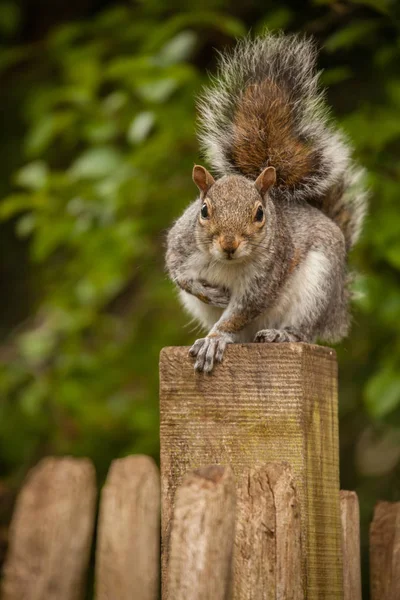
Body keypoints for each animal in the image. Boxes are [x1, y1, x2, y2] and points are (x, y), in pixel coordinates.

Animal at [164, 32, 368, 372]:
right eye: (204, 210)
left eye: (260, 214)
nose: (229, 244)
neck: (226, 264)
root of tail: (339, 306)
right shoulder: (180, 247)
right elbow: (179, 275)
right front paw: (207, 292)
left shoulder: (266, 277)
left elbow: (240, 312)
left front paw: (214, 339)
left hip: (319, 286)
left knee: (305, 330)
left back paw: (280, 334)